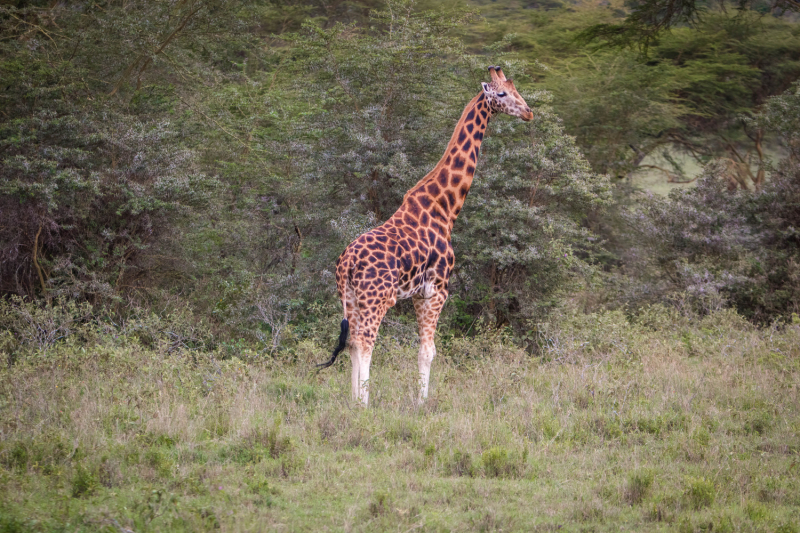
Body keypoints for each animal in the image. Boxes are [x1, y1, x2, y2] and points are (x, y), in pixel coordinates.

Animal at [316, 68, 536, 406]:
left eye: (515, 89)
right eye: (501, 93)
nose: (528, 112)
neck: (444, 209)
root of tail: (346, 263)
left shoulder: (419, 294)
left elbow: (422, 350)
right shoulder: (437, 291)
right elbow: (428, 351)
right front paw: (422, 403)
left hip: (349, 297)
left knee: (352, 342)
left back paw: (353, 402)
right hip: (377, 298)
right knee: (365, 342)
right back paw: (365, 405)